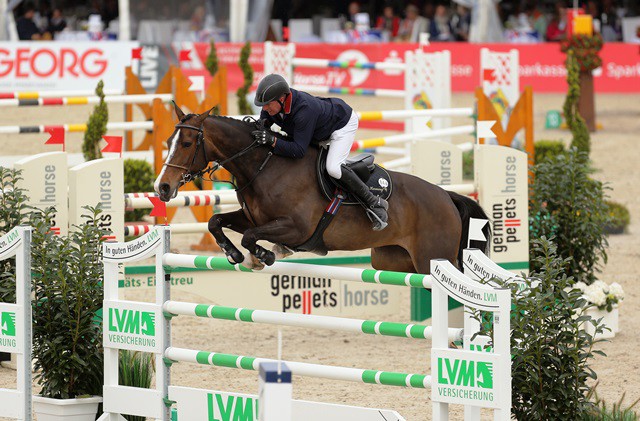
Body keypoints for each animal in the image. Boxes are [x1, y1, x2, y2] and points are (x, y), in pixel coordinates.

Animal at [155, 104, 490, 274]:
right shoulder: (253, 218)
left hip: (433, 259)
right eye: (170, 141)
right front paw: (234, 253)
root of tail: (446, 196)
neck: (264, 166)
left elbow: (251, 236)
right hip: (394, 260)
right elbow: (216, 221)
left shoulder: (296, 228)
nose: (163, 187)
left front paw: (265, 254)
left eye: (187, 143)